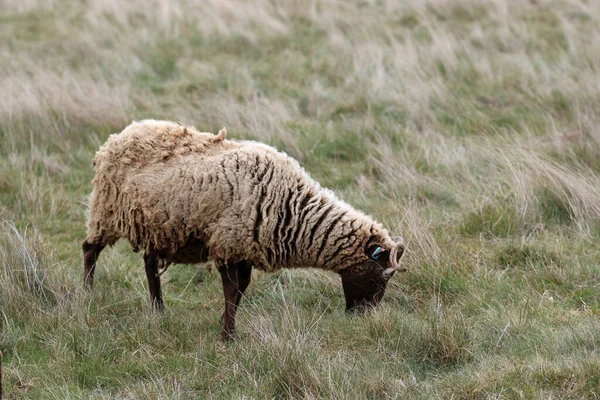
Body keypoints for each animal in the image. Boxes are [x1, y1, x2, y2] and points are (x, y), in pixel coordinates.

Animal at [82, 120, 406, 340]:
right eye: (379, 279)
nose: (363, 318)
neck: (291, 206)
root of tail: (120, 135)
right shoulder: (228, 244)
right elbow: (231, 289)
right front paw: (228, 335)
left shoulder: (244, 248)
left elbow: (241, 289)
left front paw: (225, 325)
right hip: (106, 211)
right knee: (90, 250)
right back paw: (87, 296)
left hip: (157, 227)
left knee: (150, 265)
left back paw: (158, 309)